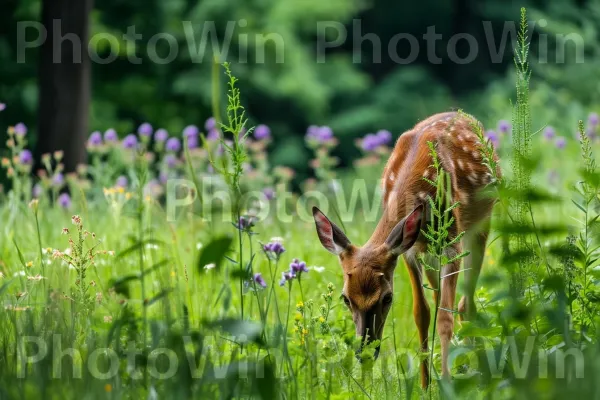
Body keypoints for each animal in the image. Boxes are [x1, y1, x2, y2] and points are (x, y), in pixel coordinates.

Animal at [312, 111, 500, 390]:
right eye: (345, 298)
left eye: (387, 298)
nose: (365, 353)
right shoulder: (409, 252)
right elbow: (421, 313)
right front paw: (424, 385)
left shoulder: (452, 244)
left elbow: (444, 318)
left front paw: (446, 383)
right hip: (430, 252)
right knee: (444, 300)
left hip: (480, 224)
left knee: (465, 304)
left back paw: (480, 373)